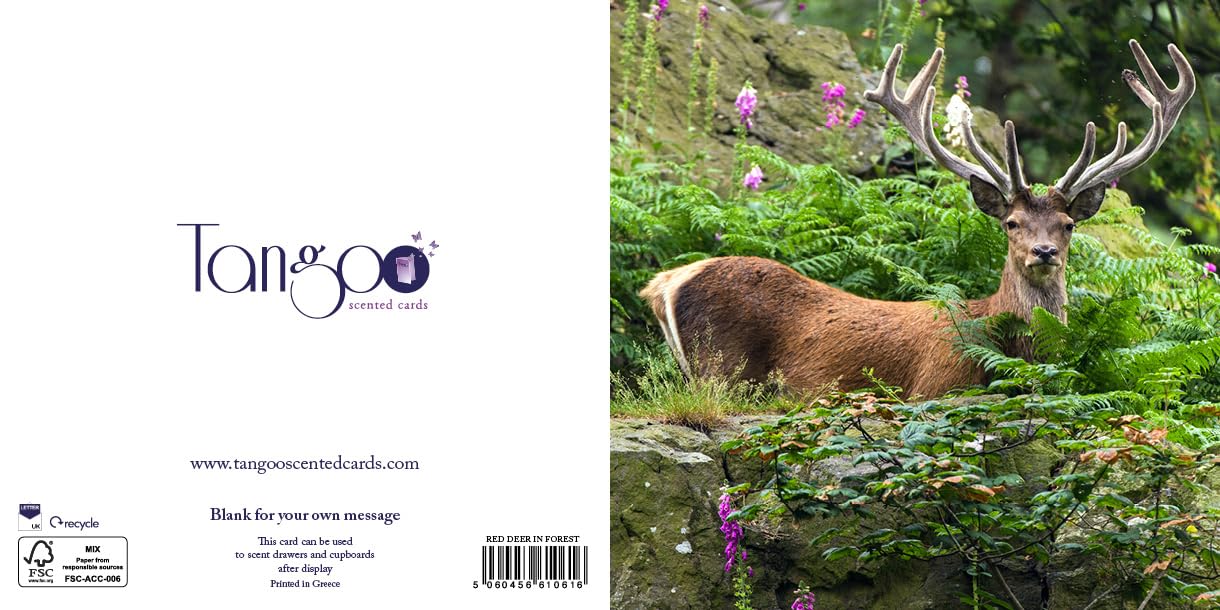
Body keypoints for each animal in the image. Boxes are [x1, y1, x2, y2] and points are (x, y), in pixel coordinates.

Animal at [641, 41, 1195, 399]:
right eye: (1011, 223)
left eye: (1068, 224)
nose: (1044, 252)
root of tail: (666, 282)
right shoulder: (935, 387)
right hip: (722, 369)